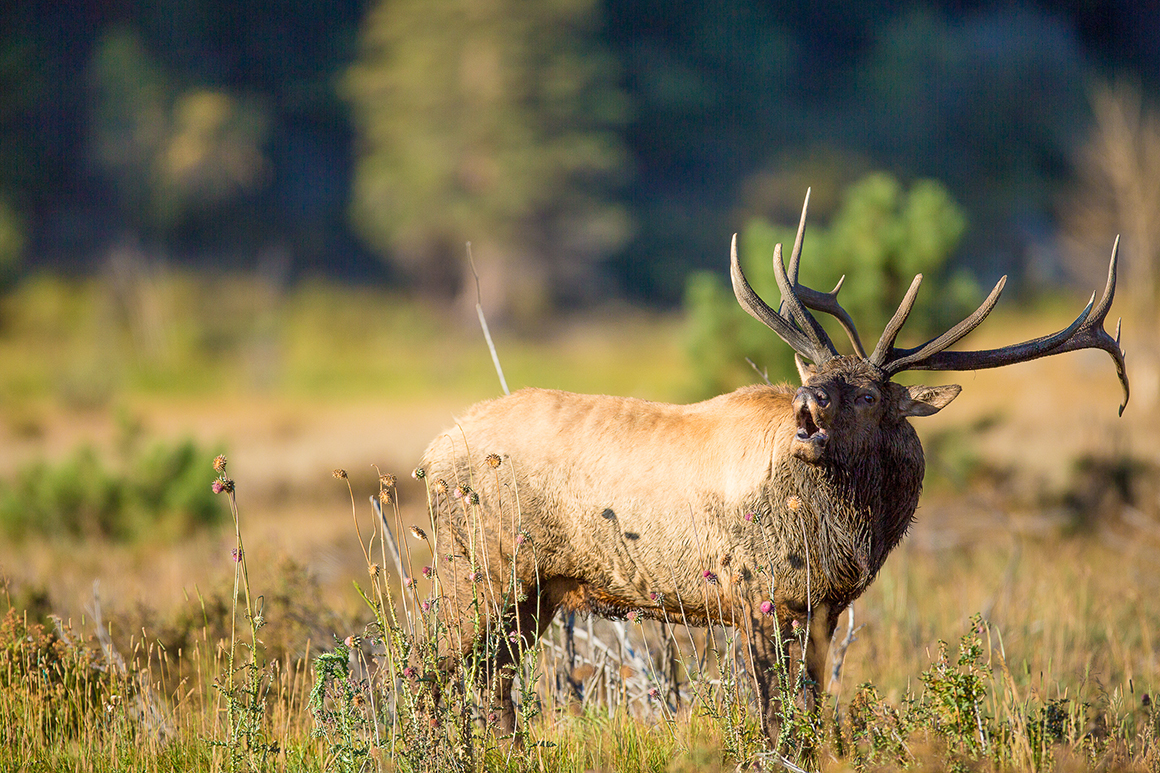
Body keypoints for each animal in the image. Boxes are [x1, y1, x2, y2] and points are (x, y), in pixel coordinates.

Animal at [412, 189, 1127, 738]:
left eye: (868, 394)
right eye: (816, 377)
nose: (809, 404)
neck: (850, 533)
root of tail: (433, 452)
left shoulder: (822, 607)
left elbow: (810, 704)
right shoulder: (756, 591)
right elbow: (769, 710)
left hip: (534, 590)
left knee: (491, 679)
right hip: (480, 568)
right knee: (433, 665)